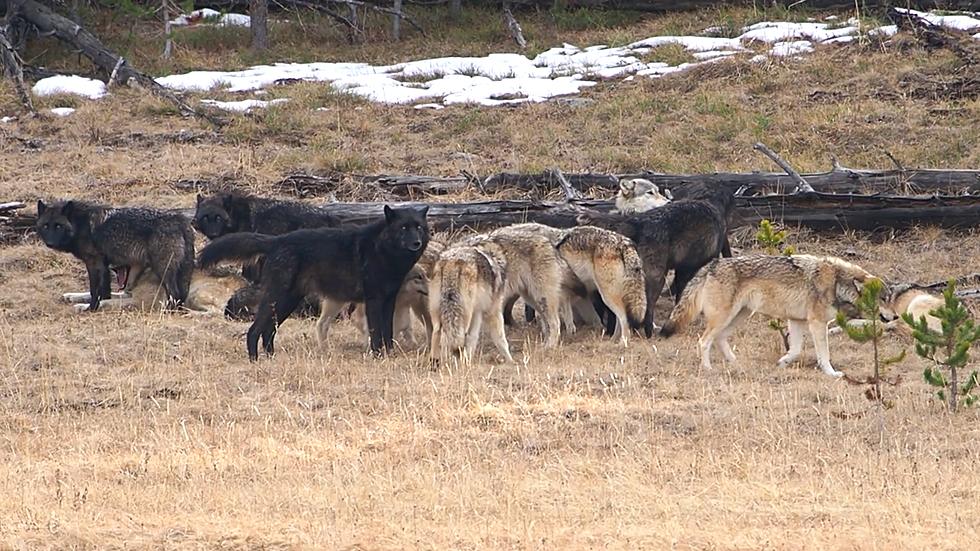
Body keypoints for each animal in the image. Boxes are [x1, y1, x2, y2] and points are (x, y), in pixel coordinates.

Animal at [36, 198, 193, 312]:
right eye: (46, 226)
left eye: (58, 226)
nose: (50, 243)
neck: (79, 224)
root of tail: (181, 220)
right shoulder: (104, 265)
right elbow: (105, 293)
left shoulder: (94, 263)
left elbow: (94, 291)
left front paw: (91, 309)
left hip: (163, 270)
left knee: (175, 294)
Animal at [198, 205, 428, 360]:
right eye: (404, 228)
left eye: (418, 227)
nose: (417, 243)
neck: (383, 251)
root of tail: (277, 241)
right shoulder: (373, 301)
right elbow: (376, 333)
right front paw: (378, 356)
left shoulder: (389, 301)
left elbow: (388, 332)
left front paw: (390, 355)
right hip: (278, 299)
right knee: (255, 330)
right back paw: (254, 360)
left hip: (286, 303)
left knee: (268, 331)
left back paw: (271, 358)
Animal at [660, 254, 880, 380]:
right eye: (884, 299)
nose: (887, 318)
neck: (836, 282)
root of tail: (711, 265)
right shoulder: (817, 323)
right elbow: (824, 355)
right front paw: (832, 374)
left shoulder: (797, 321)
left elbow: (795, 350)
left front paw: (782, 362)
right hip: (724, 318)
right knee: (704, 341)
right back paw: (708, 368)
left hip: (739, 316)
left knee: (720, 339)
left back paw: (736, 363)